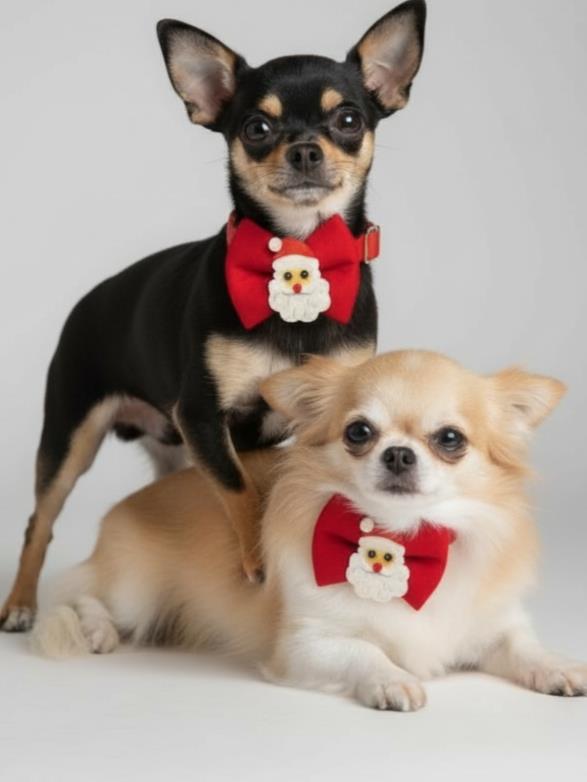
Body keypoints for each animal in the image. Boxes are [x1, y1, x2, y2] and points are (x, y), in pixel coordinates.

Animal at [1, 1, 428, 630]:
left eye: (349, 119)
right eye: (257, 129)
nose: (304, 149)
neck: (299, 252)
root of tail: (87, 300)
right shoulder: (203, 416)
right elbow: (241, 490)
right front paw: (259, 563)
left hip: (171, 450)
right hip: (69, 439)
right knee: (40, 521)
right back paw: (20, 604)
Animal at [32, 350, 587, 711]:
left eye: (450, 439)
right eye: (359, 432)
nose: (399, 453)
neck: (404, 542)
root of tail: (127, 504)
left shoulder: (493, 623)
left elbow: (523, 645)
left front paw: (557, 666)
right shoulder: (305, 646)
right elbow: (366, 650)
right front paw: (392, 679)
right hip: (136, 592)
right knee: (81, 593)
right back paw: (98, 629)